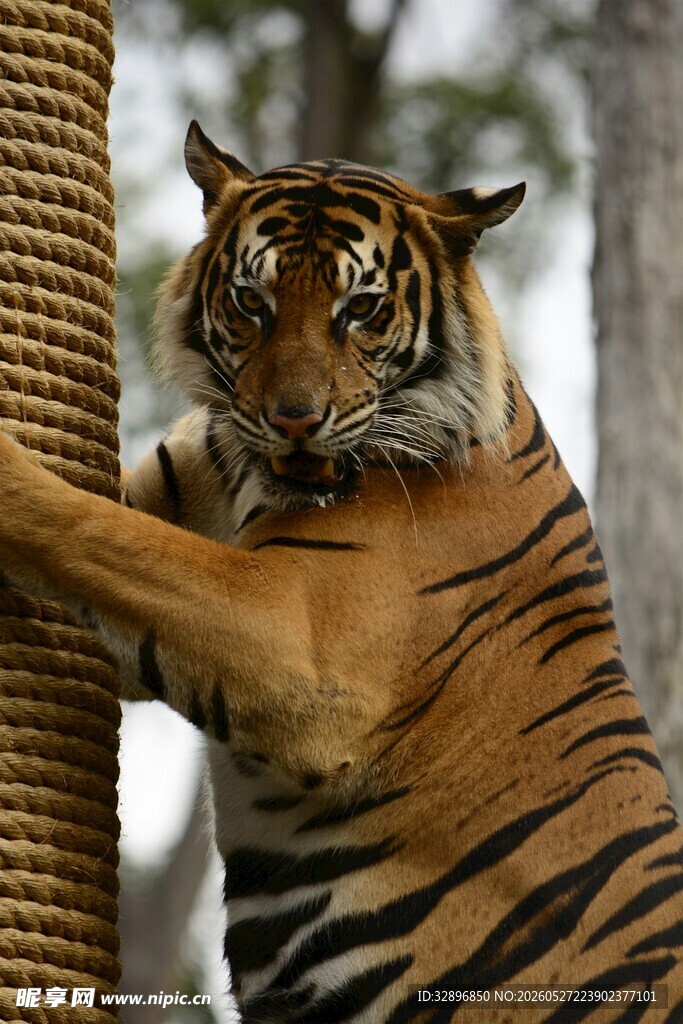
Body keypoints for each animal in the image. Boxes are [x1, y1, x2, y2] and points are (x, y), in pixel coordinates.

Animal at [0, 119, 682, 1024]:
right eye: (250, 302)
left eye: (360, 309)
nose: (294, 420)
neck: (247, 475)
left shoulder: (299, 640)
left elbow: (97, 532)